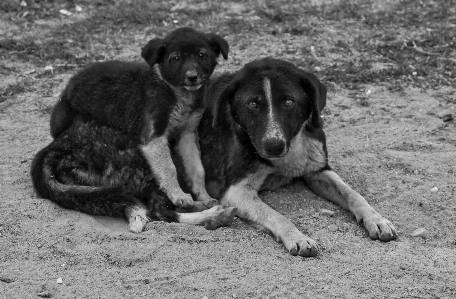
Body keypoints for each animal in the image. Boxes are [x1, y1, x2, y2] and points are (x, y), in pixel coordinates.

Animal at [31, 28, 235, 233]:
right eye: (175, 58)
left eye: (202, 55)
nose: (192, 77)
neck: (178, 94)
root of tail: (50, 151)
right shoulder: (153, 137)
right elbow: (169, 169)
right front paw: (179, 194)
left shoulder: (187, 134)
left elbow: (197, 169)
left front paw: (203, 195)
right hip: (136, 163)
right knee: (160, 211)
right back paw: (213, 215)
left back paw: (206, 208)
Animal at [198, 58, 398, 258]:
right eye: (252, 104)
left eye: (289, 102)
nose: (274, 146)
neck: (290, 150)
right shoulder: (236, 191)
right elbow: (275, 214)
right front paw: (298, 237)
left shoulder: (318, 172)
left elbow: (353, 194)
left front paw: (376, 219)